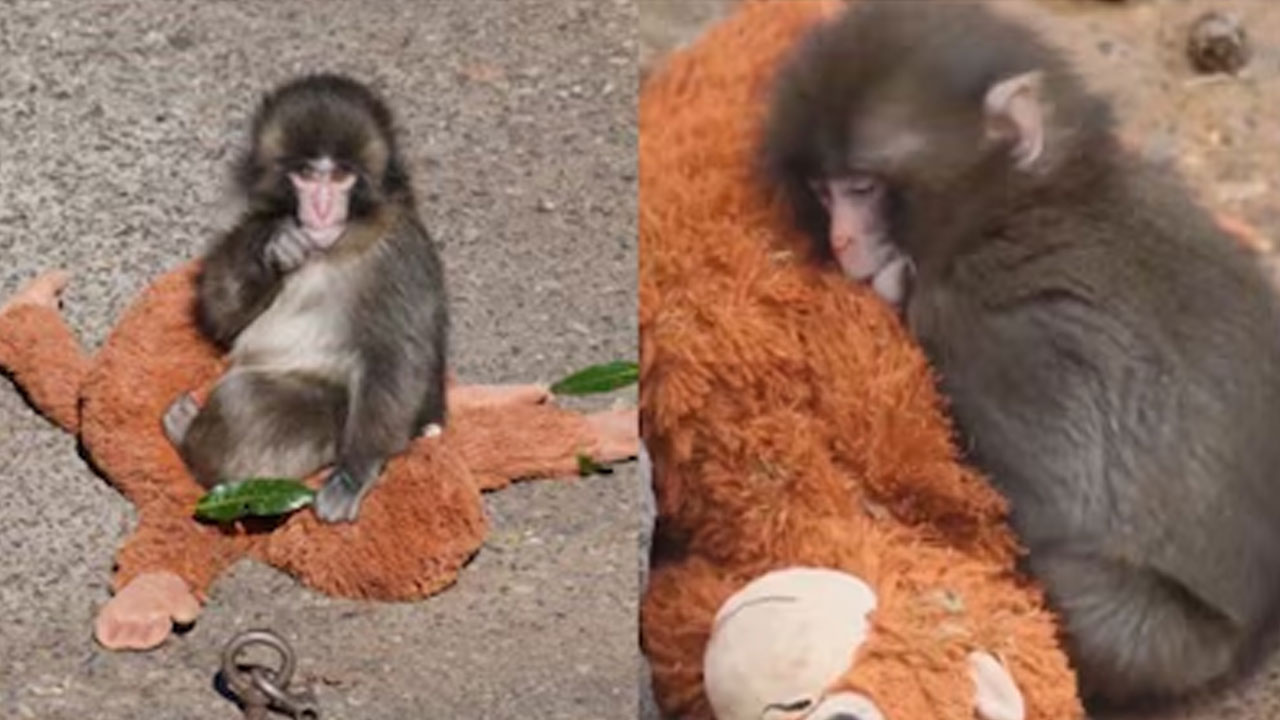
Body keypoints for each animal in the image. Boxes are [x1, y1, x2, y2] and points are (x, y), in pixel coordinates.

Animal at [163, 73, 448, 525]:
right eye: (305, 174)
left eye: (341, 176)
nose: (321, 208)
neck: (330, 247)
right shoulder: (244, 215)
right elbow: (221, 314)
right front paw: (271, 249)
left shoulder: (401, 255)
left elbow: (395, 357)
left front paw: (355, 472)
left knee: (248, 406)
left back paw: (186, 435)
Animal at [762, 1, 1280, 712]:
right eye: (823, 190)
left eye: (862, 188)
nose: (841, 240)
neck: (1024, 200)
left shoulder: (997, 328)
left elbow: (1032, 510)